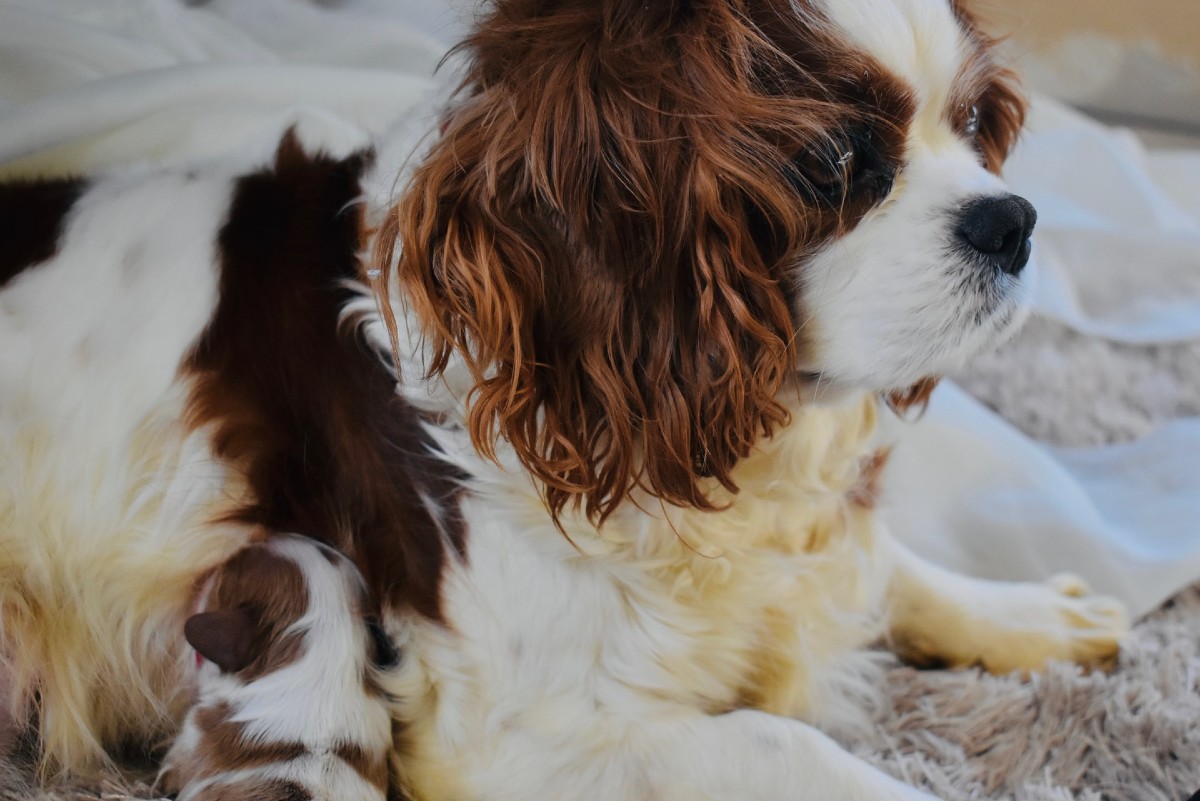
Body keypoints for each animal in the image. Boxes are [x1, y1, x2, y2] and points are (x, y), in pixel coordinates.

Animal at [0, 1, 1128, 801]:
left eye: (974, 127)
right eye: (835, 160)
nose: (1014, 221)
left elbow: (886, 564)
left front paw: (1024, 613)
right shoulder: (512, 743)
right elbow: (782, 742)